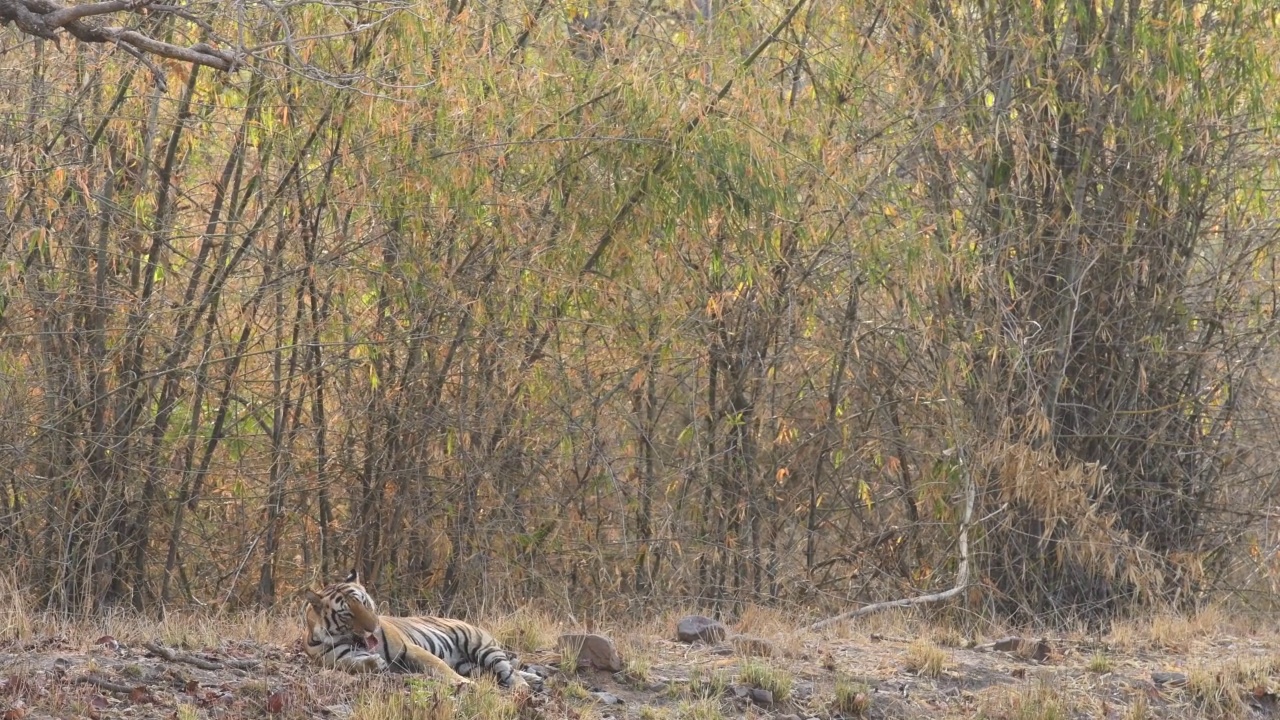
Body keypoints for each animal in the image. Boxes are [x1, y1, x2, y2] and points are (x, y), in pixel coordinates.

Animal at [304, 568, 535, 686]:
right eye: (347, 614)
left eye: (364, 602)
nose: (374, 626)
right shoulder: (337, 659)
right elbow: (355, 663)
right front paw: (375, 663)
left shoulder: (409, 648)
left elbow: (438, 665)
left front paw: (464, 684)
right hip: (469, 665)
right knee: (497, 672)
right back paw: (535, 680)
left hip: (482, 648)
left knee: (508, 671)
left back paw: (524, 686)